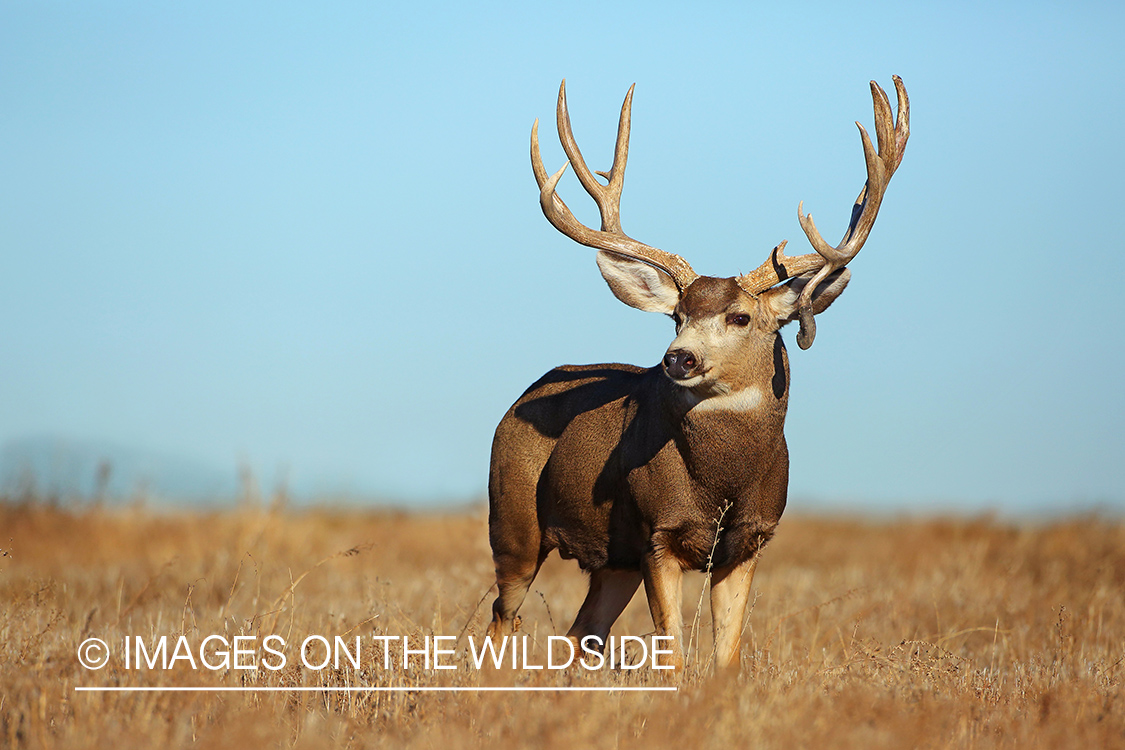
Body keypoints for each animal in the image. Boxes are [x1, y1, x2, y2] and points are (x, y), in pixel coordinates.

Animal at [486, 77, 909, 671]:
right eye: (677, 316)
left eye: (741, 317)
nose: (677, 358)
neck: (720, 481)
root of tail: (519, 399)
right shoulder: (657, 533)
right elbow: (674, 655)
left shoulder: (748, 540)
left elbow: (725, 656)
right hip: (514, 520)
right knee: (503, 615)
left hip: (612, 558)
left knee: (582, 633)